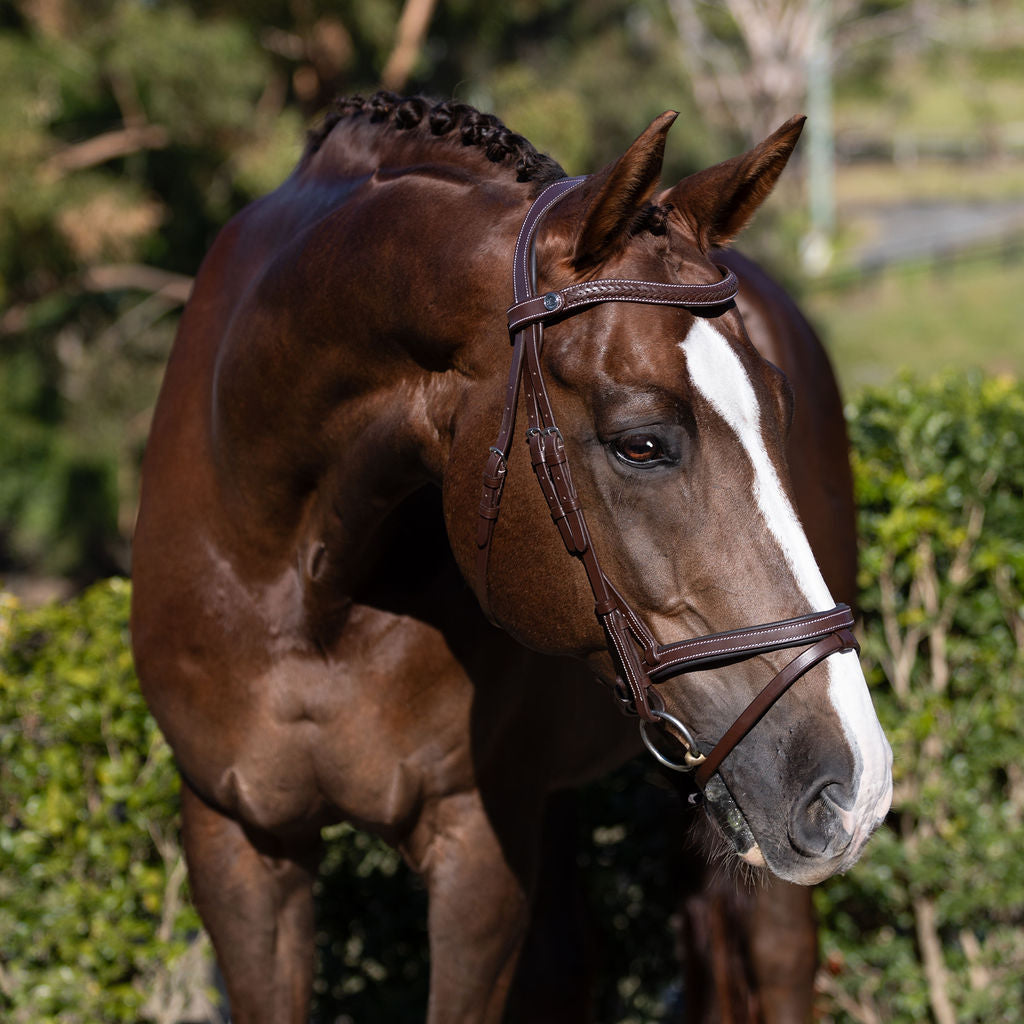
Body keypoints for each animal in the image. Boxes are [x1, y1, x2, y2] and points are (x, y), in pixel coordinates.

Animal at [131, 92, 893, 1023]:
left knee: (780, 956)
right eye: (641, 442)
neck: (302, 585)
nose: (855, 781)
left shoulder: (475, 848)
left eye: (777, 412)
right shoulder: (238, 843)